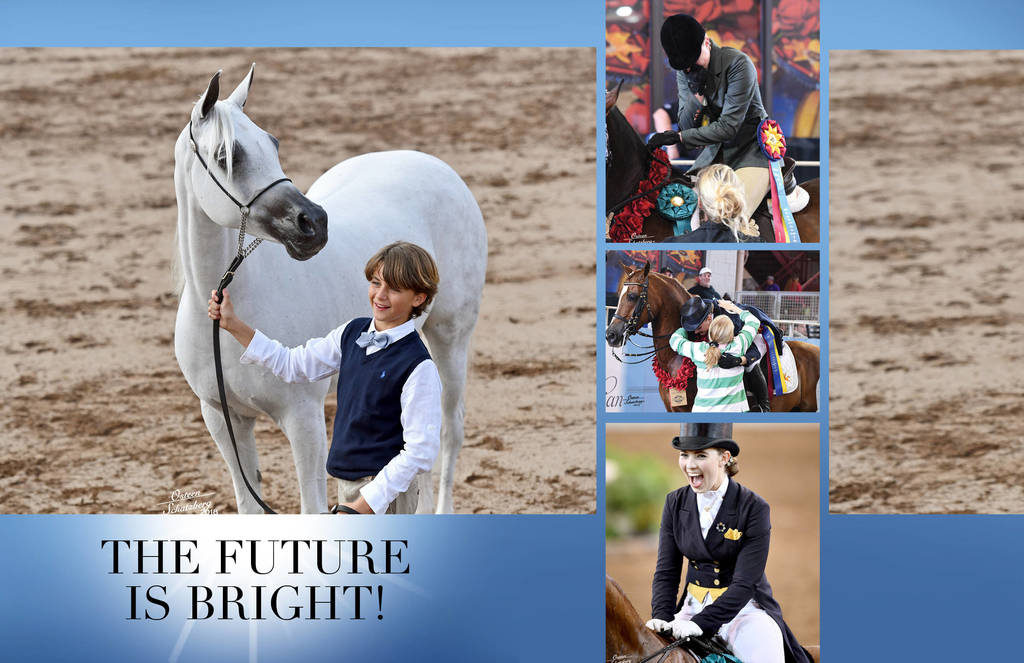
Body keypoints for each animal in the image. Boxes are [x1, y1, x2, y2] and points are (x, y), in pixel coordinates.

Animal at [173, 66, 486, 514]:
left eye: (273, 142)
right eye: (226, 156)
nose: (314, 224)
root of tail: (433, 164)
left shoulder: (303, 421)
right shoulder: (223, 418)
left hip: (451, 337)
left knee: (448, 429)